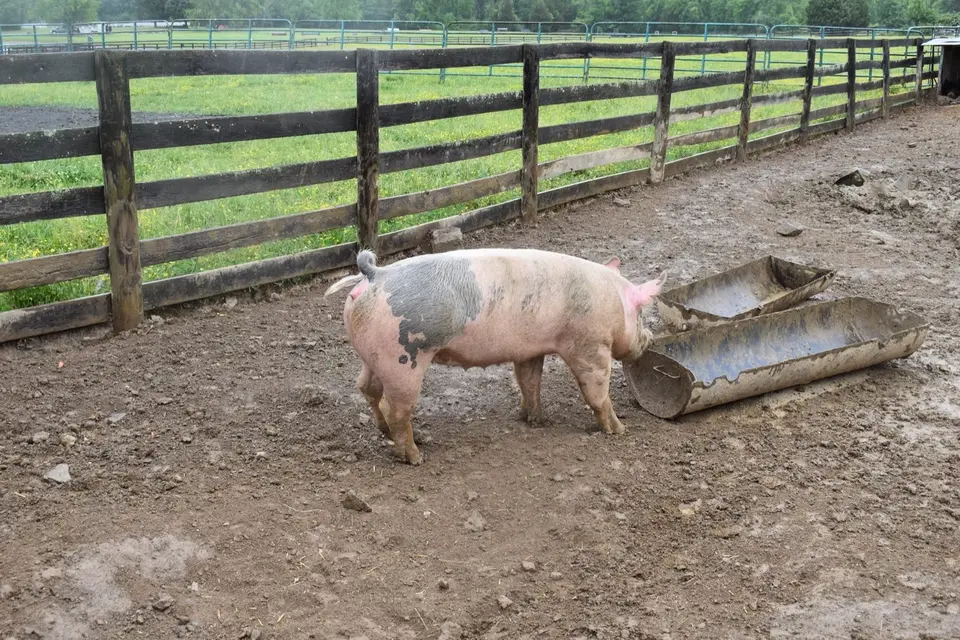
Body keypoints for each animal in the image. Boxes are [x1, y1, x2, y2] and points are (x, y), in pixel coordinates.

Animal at [324, 248, 665, 465]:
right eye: (641, 313)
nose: (650, 339)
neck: (612, 301)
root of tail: (375, 274)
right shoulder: (589, 344)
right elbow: (596, 391)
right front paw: (620, 430)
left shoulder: (529, 349)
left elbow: (529, 383)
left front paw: (537, 420)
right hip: (403, 359)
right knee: (394, 408)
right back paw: (416, 457)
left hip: (373, 357)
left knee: (367, 389)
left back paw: (396, 434)